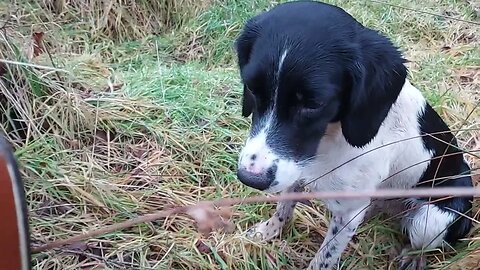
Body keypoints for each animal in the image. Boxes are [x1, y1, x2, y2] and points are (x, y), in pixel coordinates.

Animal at [232, 1, 472, 268]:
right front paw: (268, 231)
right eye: (251, 88)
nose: (250, 178)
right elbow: (284, 207)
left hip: (430, 220)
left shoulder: (347, 213)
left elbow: (324, 258)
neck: (330, 137)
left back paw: (413, 257)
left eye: (314, 104)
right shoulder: (295, 170)